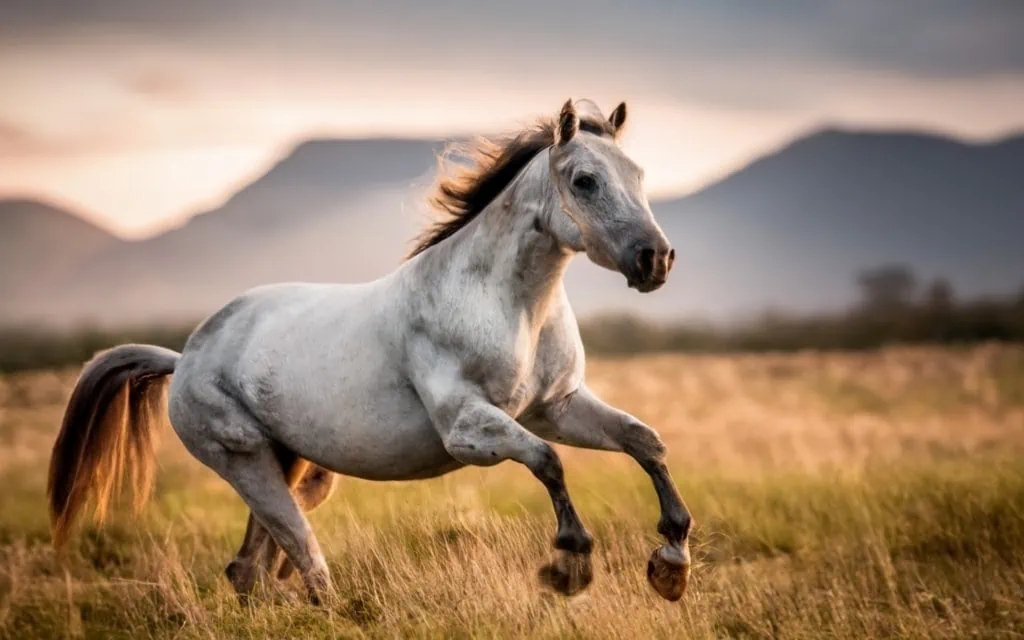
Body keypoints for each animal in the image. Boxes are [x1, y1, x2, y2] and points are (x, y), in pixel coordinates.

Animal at [47, 98, 693, 603]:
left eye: (639, 174)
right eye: (585, 179)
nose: (655, 260)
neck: (508, 307)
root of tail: (184, 359)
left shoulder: (556, 406)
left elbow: (644, 441)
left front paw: (672, 562)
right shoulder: (468, 428)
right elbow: (547, 461)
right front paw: (570, 565)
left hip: (289, 467)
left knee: (249, 570)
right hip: (245, 462)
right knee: (307, 569)